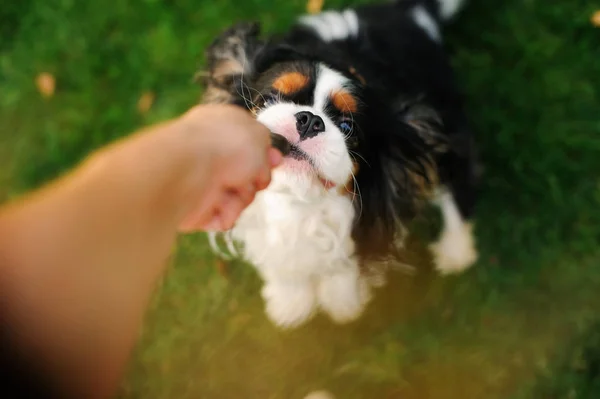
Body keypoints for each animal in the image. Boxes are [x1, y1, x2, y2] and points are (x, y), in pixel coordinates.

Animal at [199, 0, 480, 330]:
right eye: (269, 99)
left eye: (347, 127)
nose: (310, 120)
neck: (299, 206)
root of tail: (407, 14)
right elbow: (282, 260)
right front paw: (290, 304)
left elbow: (345, 265)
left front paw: (343, 303)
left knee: (457, 182)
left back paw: (456, 251)